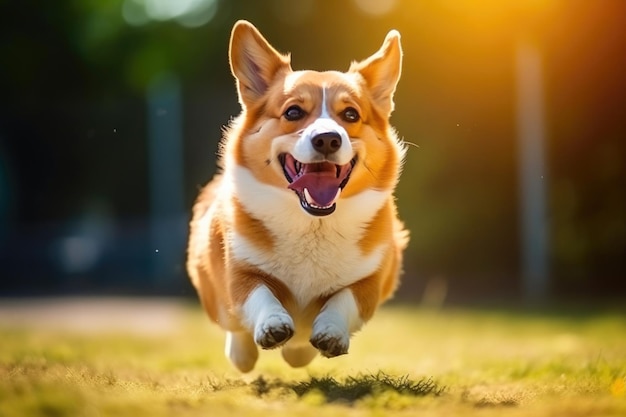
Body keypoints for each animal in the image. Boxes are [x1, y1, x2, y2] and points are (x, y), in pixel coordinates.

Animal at [185, 19, 410, 370]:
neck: (312, 224)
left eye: (350, 115)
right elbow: (258, 293)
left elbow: (345, 299)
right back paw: (244, 353)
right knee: (234, 327)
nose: (328, 139)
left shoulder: (372, 280)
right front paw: (272, 324)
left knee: (299, 348)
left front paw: (331, 332)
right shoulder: (240, 271)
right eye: (292, 112)